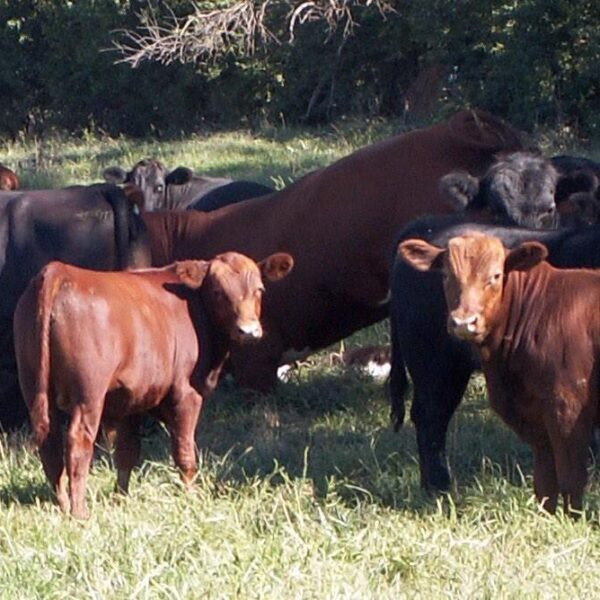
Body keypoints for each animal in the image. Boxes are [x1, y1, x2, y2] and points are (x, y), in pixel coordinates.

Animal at [12, 251, 294, 516]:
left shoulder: (130, 399)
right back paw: (79, 512)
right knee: (78, 443)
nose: (248, 331)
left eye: (259, 289)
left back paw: (61, 504)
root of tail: (58, 271)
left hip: (34, 386)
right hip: (88, 394)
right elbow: (184, 452)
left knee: (49, 442)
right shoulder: (186, 393)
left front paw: (121, 498)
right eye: (218, 292)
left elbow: (127, 453)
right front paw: (191, 498)